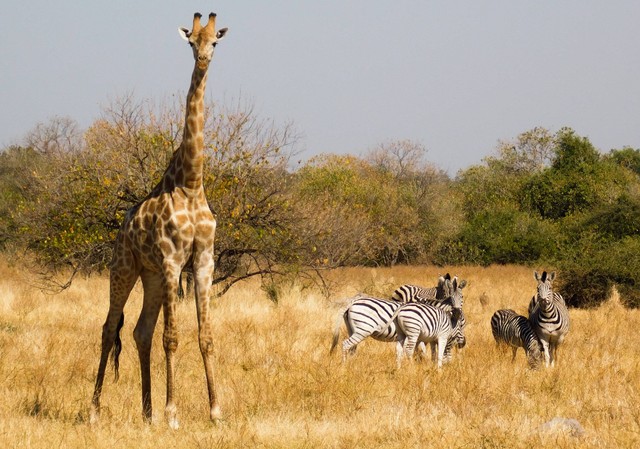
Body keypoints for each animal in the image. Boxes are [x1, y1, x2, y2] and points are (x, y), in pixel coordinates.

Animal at [89, 12, 230, 428]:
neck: (193, 182)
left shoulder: (203, 262)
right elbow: (173, 337)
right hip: (123, 268)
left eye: (214, 41)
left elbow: (205, 337)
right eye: (191, 43)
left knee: (139, 331)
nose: (203, 60)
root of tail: (121, 229)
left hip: (149, 276)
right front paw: (173, 414)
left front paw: (216, 412)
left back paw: (147, 412)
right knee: (109, 329)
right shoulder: (172, 260)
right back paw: (95, 411)